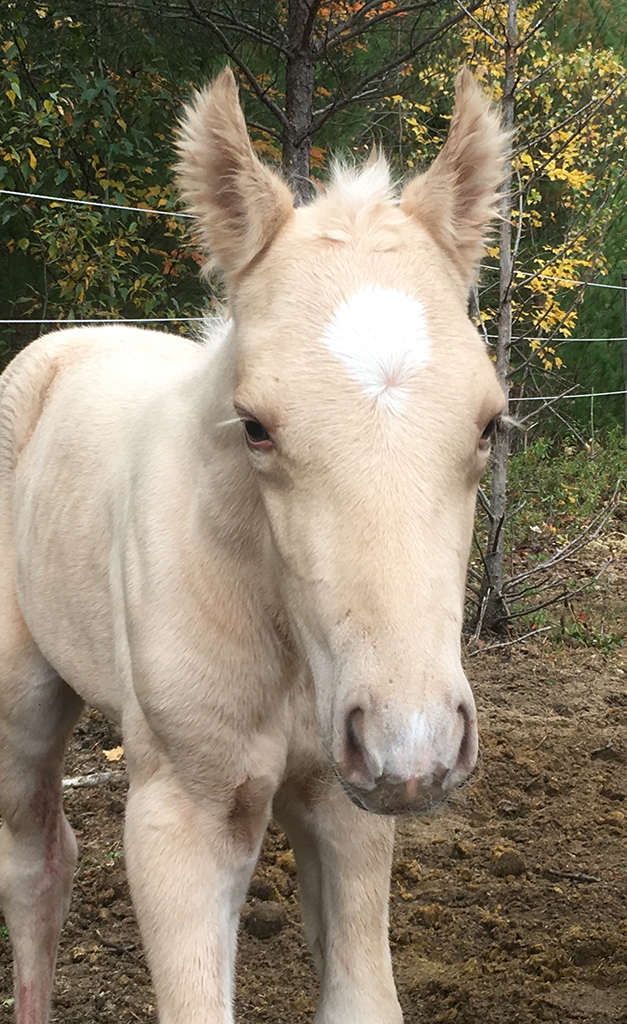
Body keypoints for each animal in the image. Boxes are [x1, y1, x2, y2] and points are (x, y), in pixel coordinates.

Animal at [0, 67, 507, 1023]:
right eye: (256, 427)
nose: (414, 746)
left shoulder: (347, 805)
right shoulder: (183, 814)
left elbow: (361, 998)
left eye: (490, 424)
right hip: (21, 700)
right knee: (35, 867)